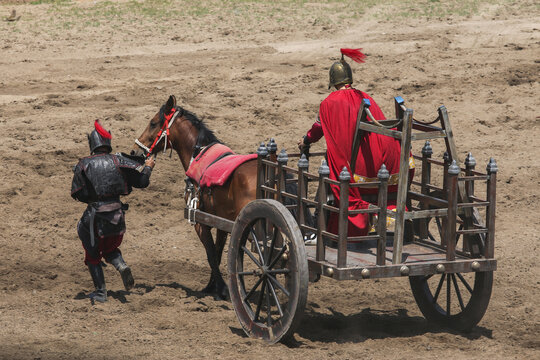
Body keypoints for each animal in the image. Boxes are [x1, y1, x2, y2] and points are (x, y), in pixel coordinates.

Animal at [131, 95, 258, 298]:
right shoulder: (221, 223)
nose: (135, 151)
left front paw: (221, 288)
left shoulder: (199, 221)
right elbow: (217, 252)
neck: (198, 155)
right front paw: (212, 286)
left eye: (153, 123)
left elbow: (211, 254)